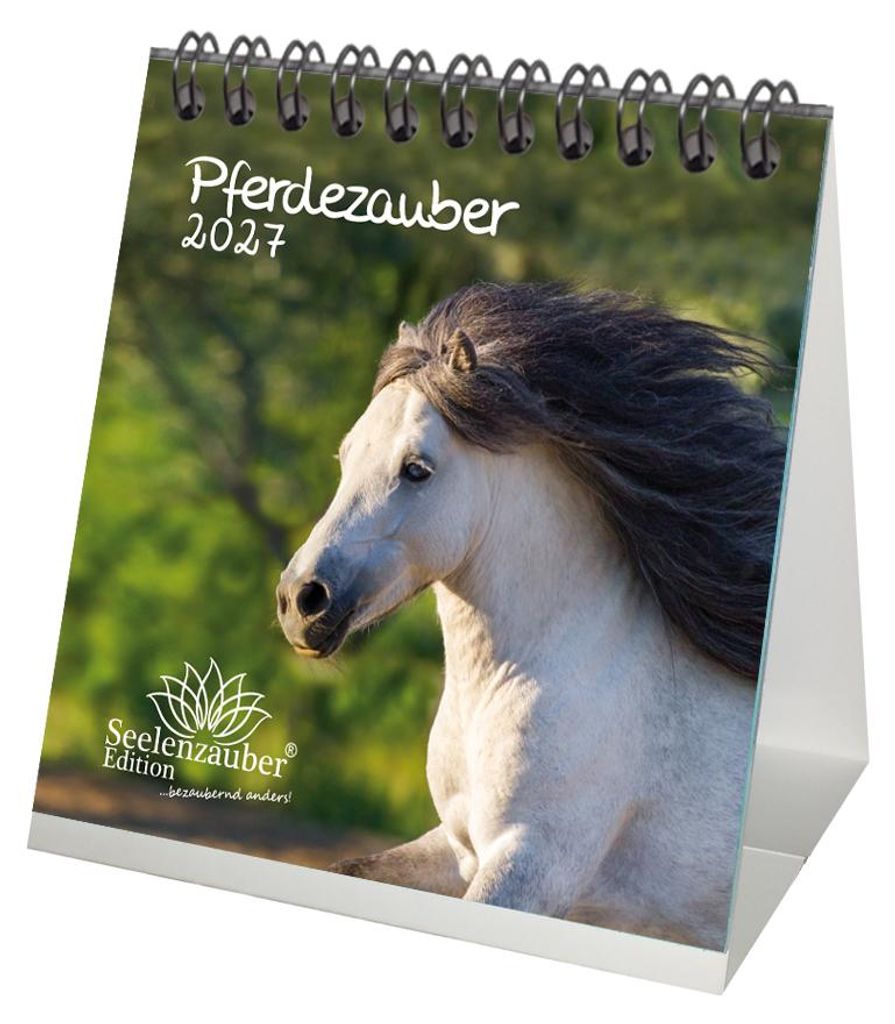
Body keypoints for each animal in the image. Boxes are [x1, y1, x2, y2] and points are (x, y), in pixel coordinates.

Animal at [275, 282, 785, 949]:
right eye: (346, 457)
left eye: (417, 469)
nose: (300, 601)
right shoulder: (458, 847)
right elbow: (350, 868)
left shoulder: (532, 863)